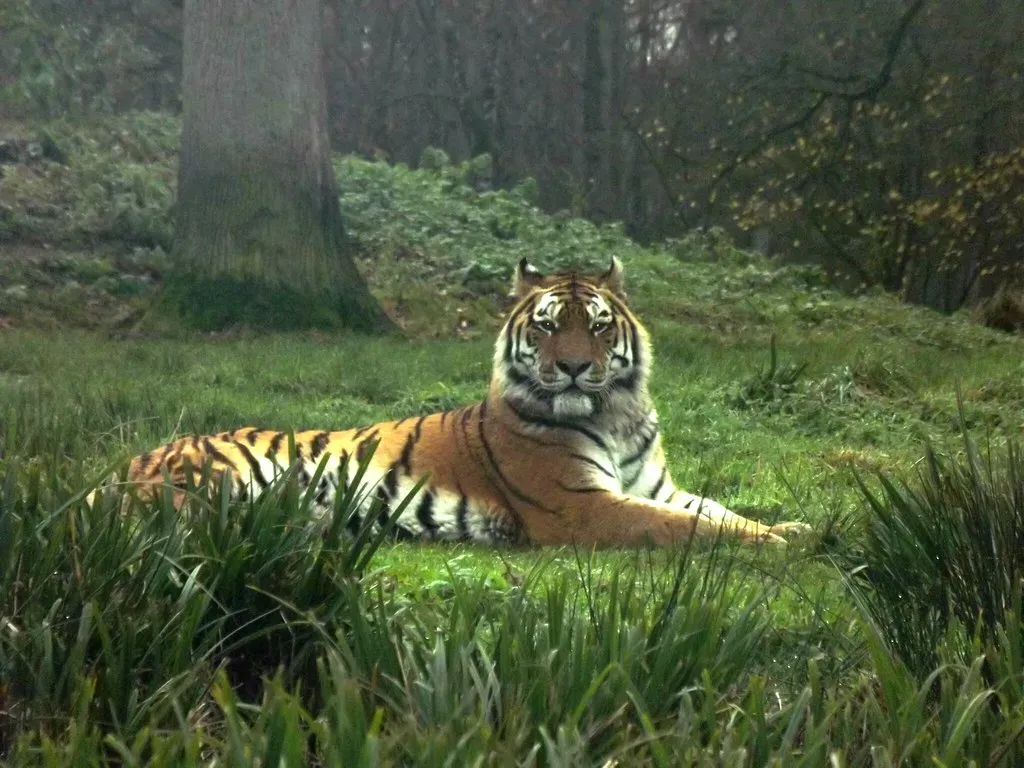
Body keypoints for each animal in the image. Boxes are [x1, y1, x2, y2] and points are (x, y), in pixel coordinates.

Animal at [104, 258, 811, 547]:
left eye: (599, 325)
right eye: (547, 326)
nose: (574, 368)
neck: (615, 414)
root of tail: (124, 465)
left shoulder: (657, 487)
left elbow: (720, 510)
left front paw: (792, 529)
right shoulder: (583, 508)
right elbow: (688, 529)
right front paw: (778, 546)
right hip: (221, 482)